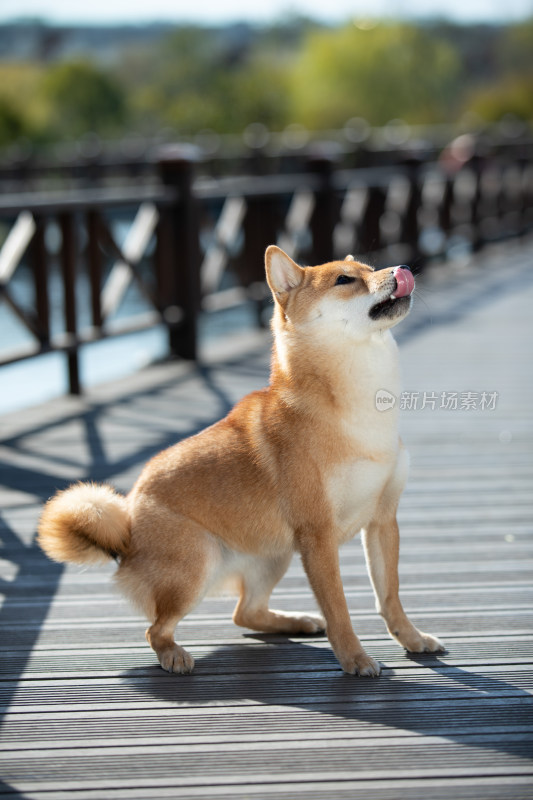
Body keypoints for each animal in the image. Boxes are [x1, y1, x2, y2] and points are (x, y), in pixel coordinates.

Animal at [38, 244, 444, 676]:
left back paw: (294, 621)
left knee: (245, 612)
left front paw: (412, 639)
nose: (402, 268)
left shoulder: (382, 521)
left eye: (370, 268)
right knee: (157, 629)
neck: (360, 407)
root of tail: (128, 522)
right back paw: (174, 654)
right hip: (199, 561)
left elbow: (390, 597)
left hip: (274, 555)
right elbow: (339, 609)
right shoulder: (318, 535)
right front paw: (355, 658)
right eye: (345, 280)